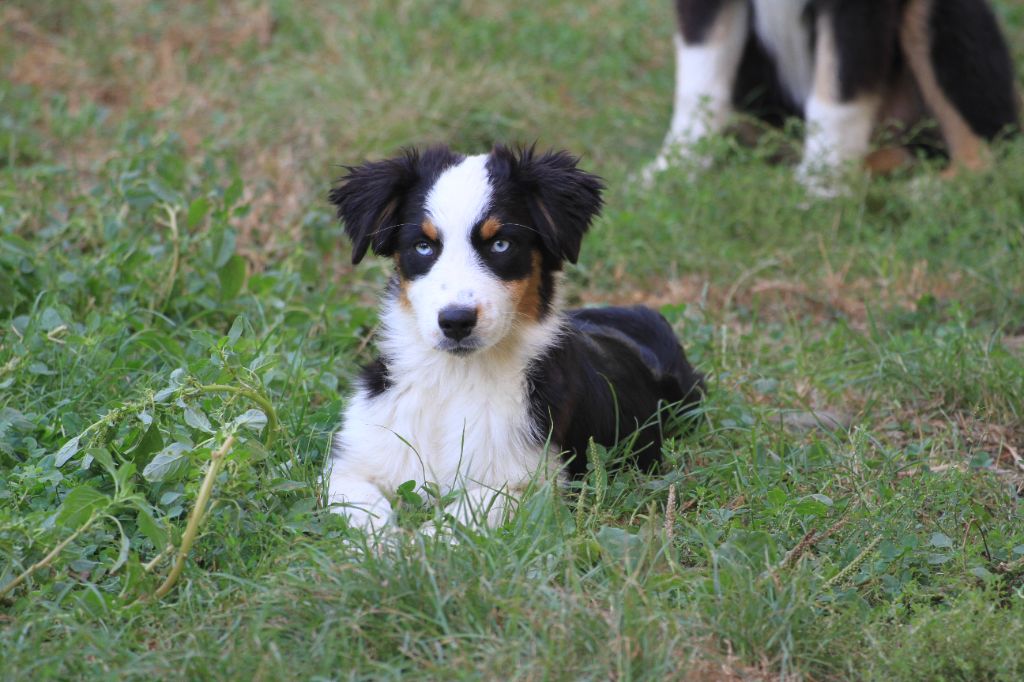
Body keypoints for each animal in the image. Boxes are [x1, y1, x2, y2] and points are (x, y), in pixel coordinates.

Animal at [325, 144, 704, 532]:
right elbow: (364, 509)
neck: (454, 378)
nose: (456, 321)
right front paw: (385, 543)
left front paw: (419, 542)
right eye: (423, 247)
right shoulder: (354, 461)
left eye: (501, 244)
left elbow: (460, 518)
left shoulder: (533, 481)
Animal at [651, 0, 1019, 191]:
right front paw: (672, 171)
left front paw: (819, 187)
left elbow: (836, 96)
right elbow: (699, 86)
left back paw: (925, 193)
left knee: (986, 150)